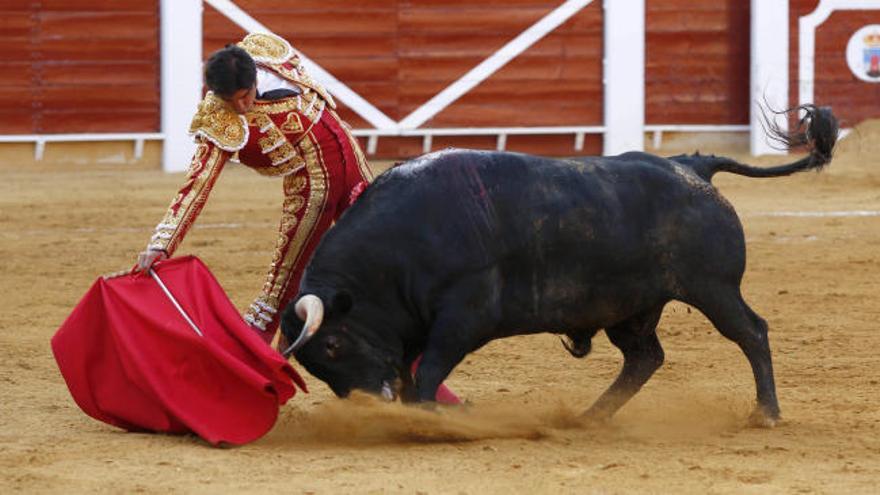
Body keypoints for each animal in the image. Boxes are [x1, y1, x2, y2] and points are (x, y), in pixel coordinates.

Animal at [282, 104, 840, 426]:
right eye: (317, 363)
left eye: (332, 344)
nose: (366, 404)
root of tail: (691, 165)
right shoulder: (413, 328)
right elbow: (408, 369)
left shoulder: (462, 316)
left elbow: (428, 370)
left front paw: (429, 418)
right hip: (630, 308)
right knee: (645, 358)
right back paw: (589, 418)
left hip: (714, 288)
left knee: (751, 332)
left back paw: (766, 414)